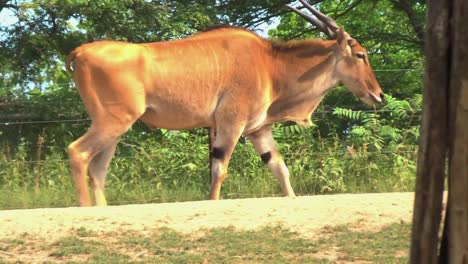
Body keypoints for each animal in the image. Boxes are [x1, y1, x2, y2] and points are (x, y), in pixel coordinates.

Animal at [66, 0, 384, 206]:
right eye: (361, 55)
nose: (378, 95)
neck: (270, 64)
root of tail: (79, 53)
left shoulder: (258, 130)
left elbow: (279, 167)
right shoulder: (232, 123)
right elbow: (219, 170)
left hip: (116, 129)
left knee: (98, 169)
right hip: (113, 122)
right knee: (78, 152)